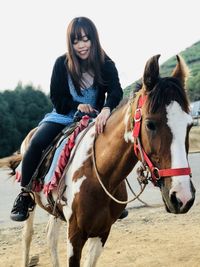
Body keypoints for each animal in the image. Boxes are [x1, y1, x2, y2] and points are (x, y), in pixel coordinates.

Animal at [1, 55, 195, 267]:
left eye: (189, 125)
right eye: (150, 124)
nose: (183, 197)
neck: (98, 174)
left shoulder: (102, 232)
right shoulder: (75, 234)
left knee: (50, 236)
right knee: (27, 236)